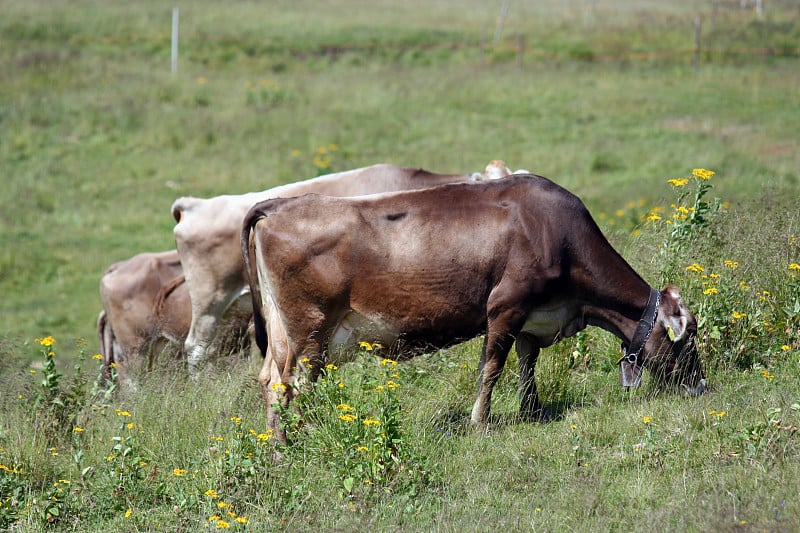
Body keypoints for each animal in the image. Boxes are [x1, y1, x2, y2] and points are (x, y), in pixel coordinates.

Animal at [242, 172, 708, 438]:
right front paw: (479, 422)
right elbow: (492, 367)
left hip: (284, 331)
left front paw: (532, 411)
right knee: (291, 385)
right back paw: (295, 442)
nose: (702, 386)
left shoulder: (534, 318)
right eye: (689, 336)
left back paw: (278, 446)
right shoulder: (504, 307)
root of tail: (279, 205)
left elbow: (527, 364)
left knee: (270, 380)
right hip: (311, 330)